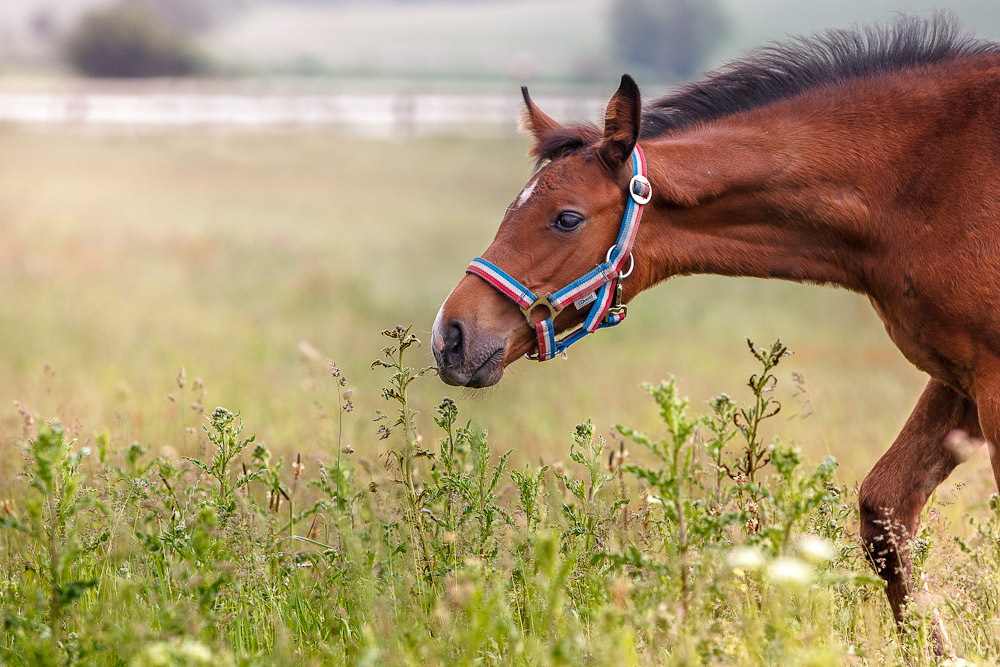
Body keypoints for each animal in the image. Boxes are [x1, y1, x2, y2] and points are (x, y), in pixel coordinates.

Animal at [434, 14, 1000, 640]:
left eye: (567, 219)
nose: (452, 335)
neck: (924, 176)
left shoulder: (991, 381)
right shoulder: (960, 374)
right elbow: (886, 510)